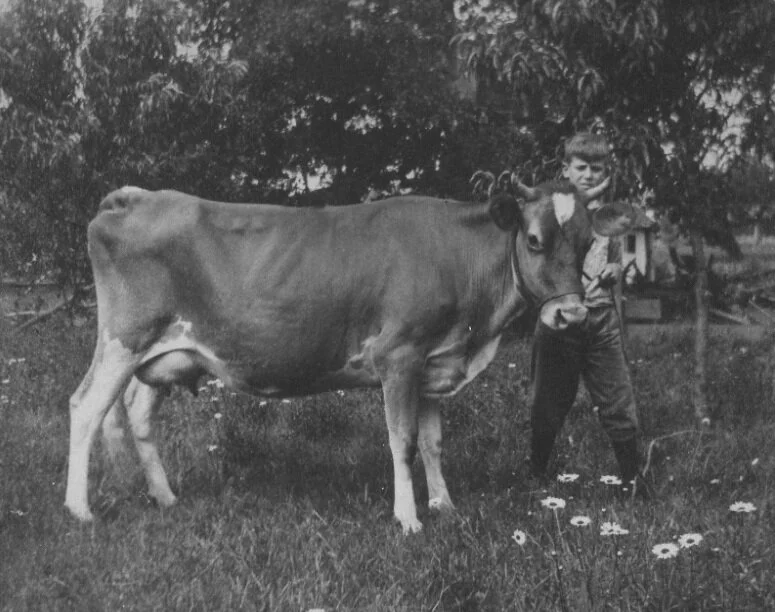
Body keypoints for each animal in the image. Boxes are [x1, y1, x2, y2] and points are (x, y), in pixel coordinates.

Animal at [65, 179, 633, 534]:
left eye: (587, 242)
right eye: (534, 240)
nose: (572, 317)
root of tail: (136, 196)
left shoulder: (434, 361)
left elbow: (433, 443)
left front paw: (445, 505)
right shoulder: (398, 356)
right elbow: (403, 442)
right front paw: (409, 518)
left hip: (165, 352)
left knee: (136, 414)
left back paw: (164, 498)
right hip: (122, 338)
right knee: (86, 407)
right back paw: (80, 510)